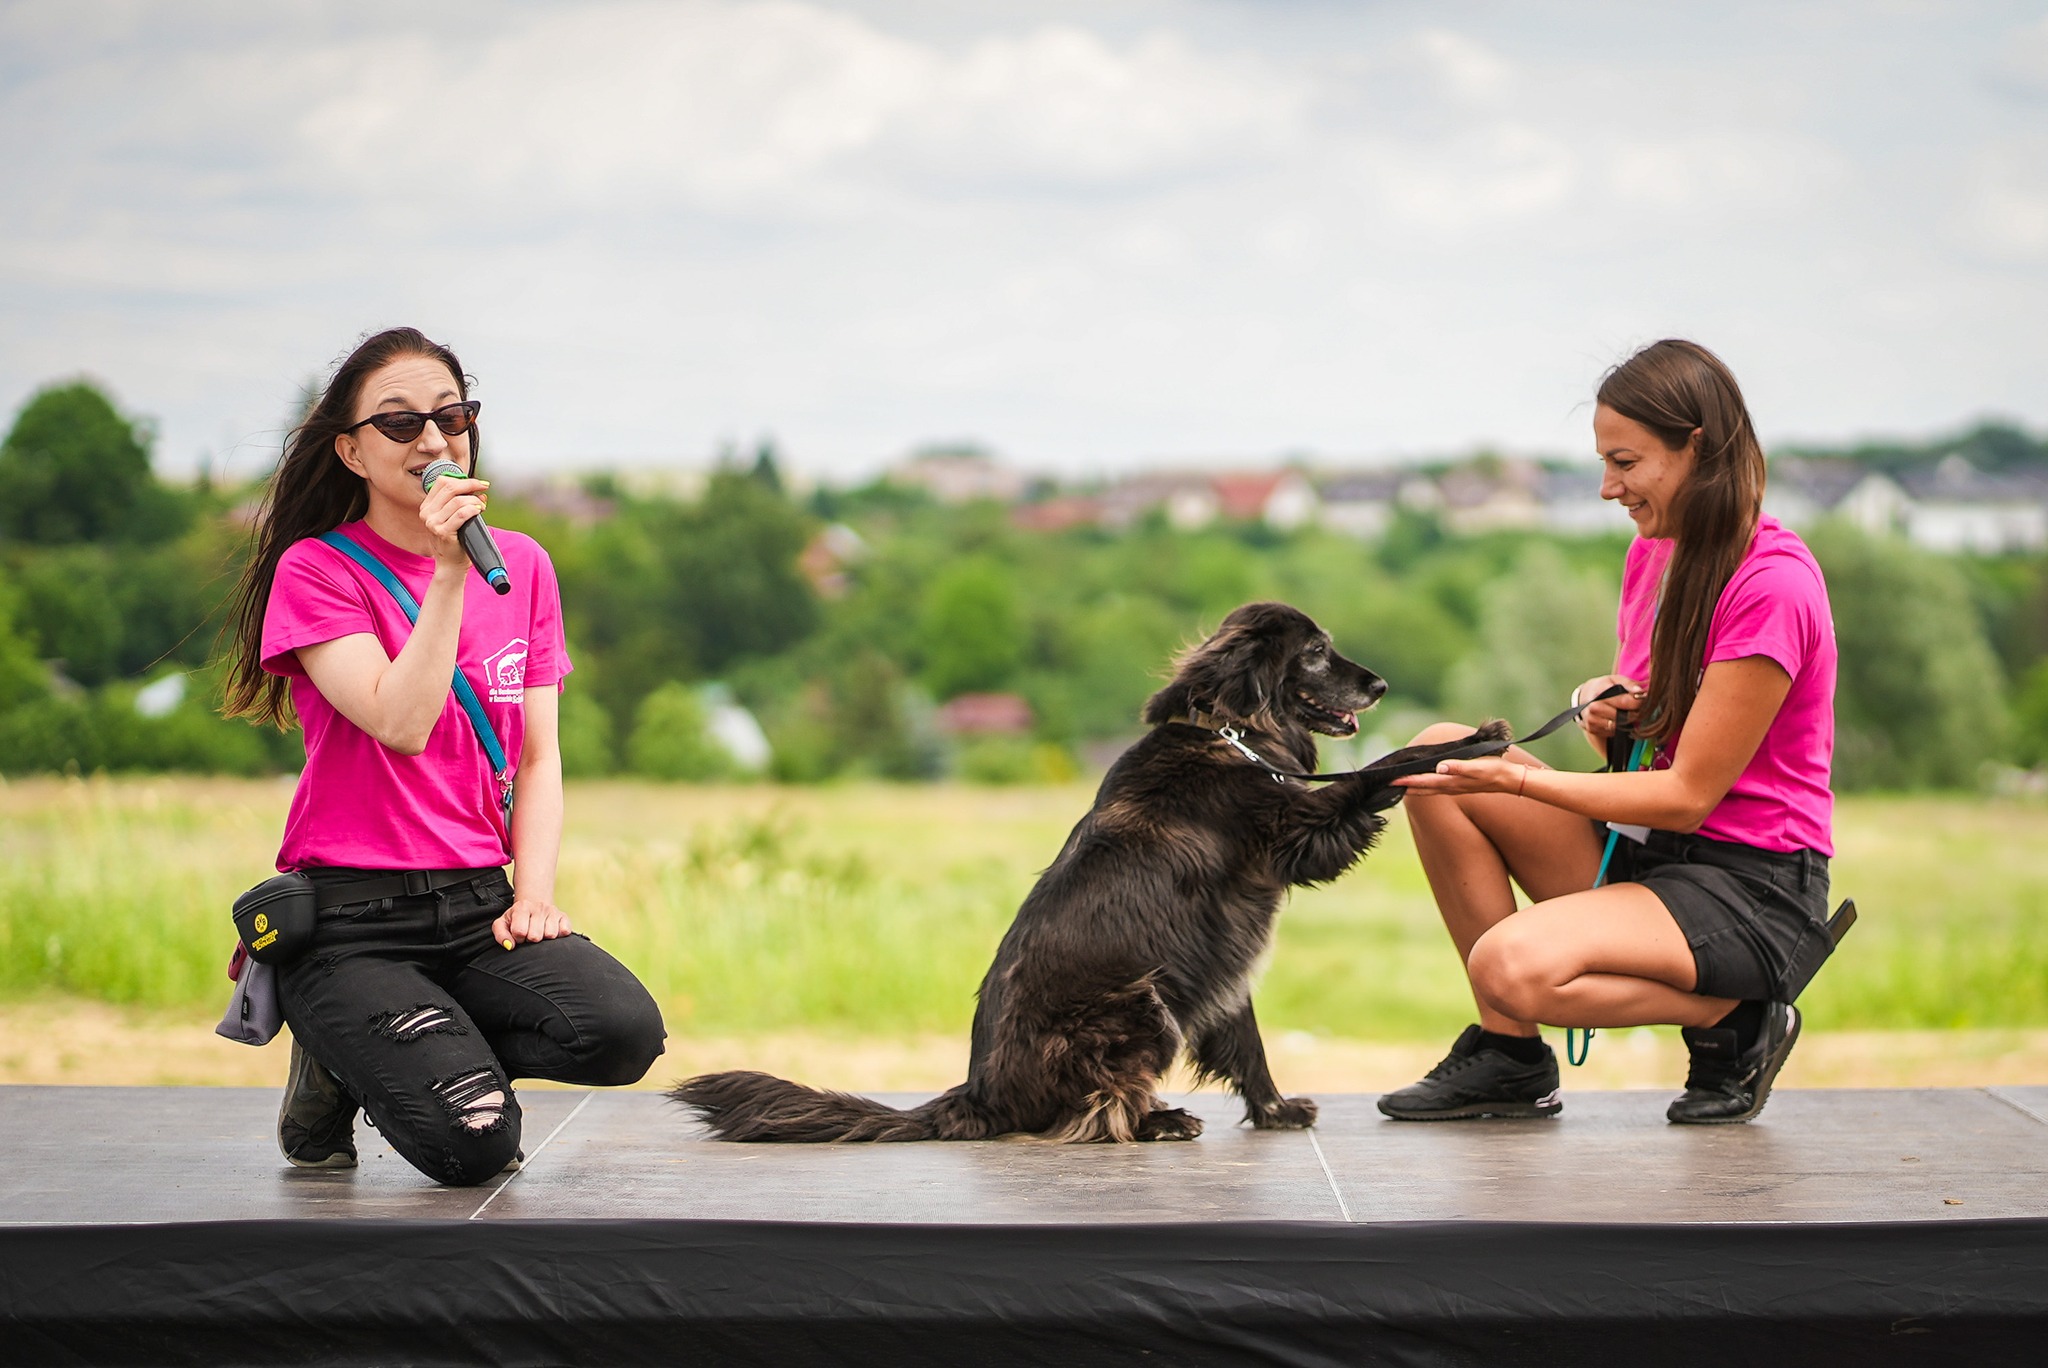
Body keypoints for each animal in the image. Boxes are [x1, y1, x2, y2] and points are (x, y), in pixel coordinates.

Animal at [679, 602, 1515, 1138]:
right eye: (1314, 651)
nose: (1378, 685)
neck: (1228, 733)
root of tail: (978, 1095)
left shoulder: (1226, 967)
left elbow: (1248, 1046)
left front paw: (1274, 1113)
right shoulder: (1300, 829)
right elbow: (1382, 766)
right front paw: (1473, 740)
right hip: (1142, 1003)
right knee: (1094, 1112)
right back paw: (1158, 1121)